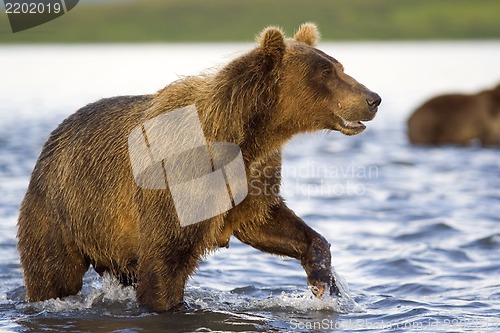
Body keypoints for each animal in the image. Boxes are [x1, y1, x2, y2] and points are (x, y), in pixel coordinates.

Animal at [17, 23, 380, 312]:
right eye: (326, 73)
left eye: (339, 65)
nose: (373, 98)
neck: (245, 136)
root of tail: (53, 138)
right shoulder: (178, 186)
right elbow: (165, 263)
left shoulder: (251, 176)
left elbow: (267, 221)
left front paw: (324, 282)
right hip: (62, 210)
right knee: (53, 273)